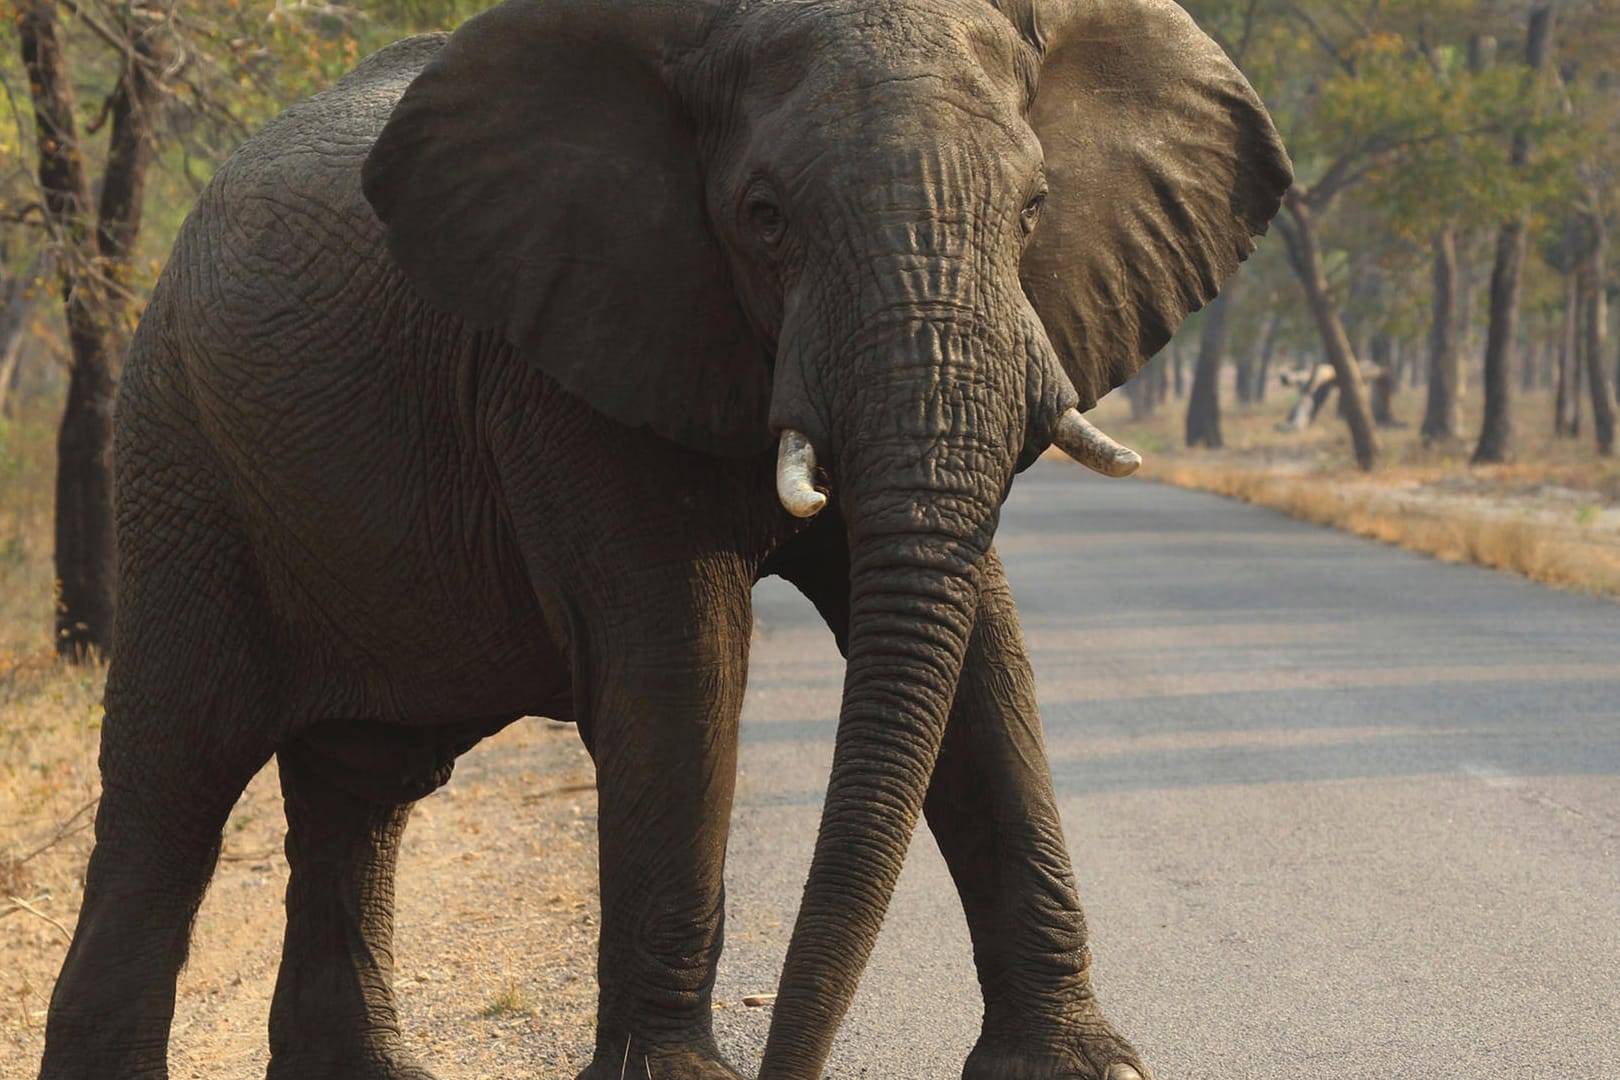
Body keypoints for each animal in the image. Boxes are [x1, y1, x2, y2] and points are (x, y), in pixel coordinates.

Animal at [34, 0, 1289, 1075]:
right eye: (763, 218)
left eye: (1032, 211)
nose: (791, 1066)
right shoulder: (563, 354)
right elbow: (683, 663)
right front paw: (683, 1076)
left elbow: (984, 655)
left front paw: (1085, 1066)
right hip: (181, 458)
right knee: (176, 775)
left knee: (359, 789)